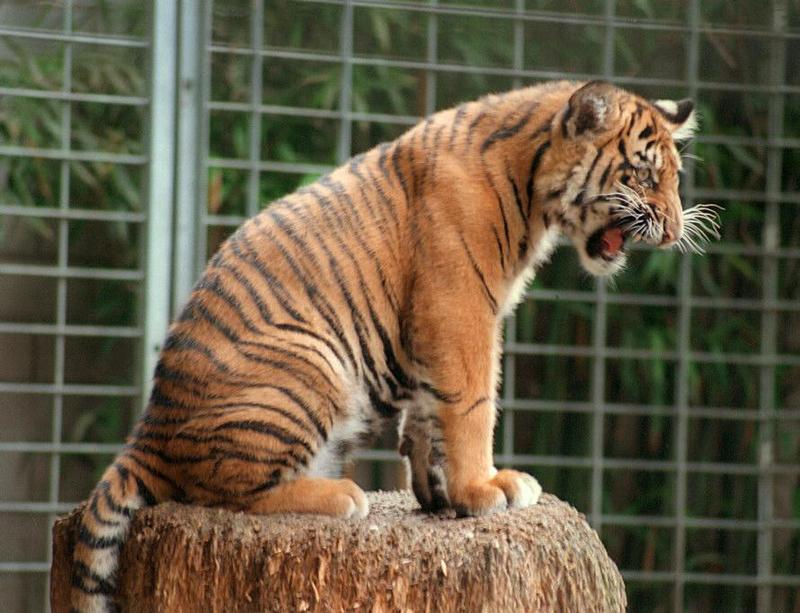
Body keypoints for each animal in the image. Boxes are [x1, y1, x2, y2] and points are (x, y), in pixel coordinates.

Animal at [70, 81, 720, 612]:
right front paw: (486, 488)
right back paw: (341, 495)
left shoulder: (438, 327)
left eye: (673, 177)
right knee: (221, 490)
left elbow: (429, 412)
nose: (673, 229)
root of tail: (147, 431)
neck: (531, 183)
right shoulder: (459, 309)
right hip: (311, 366)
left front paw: (440, 494)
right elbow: (472, 403)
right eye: (641, 175)